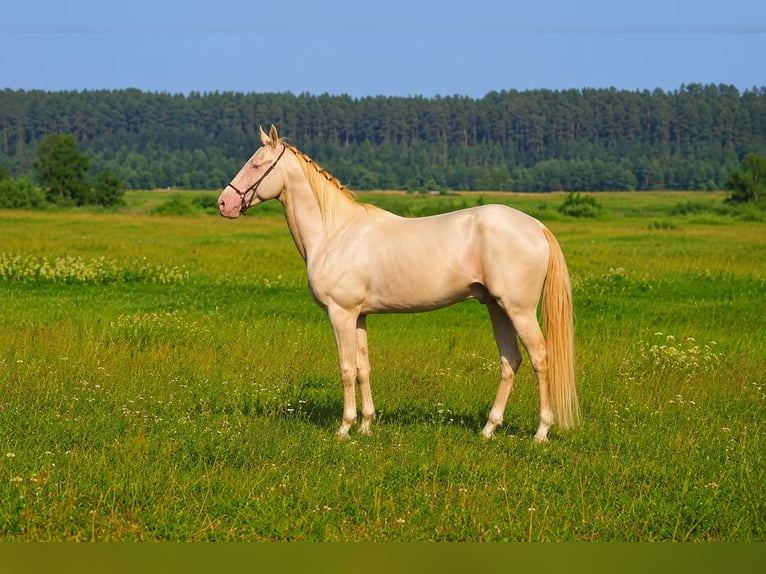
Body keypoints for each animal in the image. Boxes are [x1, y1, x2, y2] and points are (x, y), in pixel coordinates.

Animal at [218, 125, 579, 441]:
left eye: (256, 165)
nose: (224, 203)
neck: (336, 232)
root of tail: (536, 226)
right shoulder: (359, 316)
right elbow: (363, 368)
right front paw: (366, 425)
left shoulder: (341, 313)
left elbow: (346, 368)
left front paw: (344, 428)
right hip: (497, 308)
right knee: (510, 362)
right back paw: (489, 429)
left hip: (519, 310)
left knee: (540, 359)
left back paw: (541, 432)